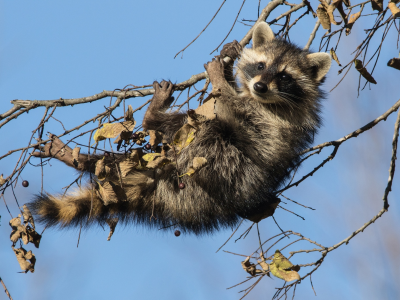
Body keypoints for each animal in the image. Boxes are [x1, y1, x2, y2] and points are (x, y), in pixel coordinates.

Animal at [28, 22, 332, 234]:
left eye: (284, 76)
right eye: (260, 65)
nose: (259, 86)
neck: (263, 98)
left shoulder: (272, 120)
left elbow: (231, 106)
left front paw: (220, 78)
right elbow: (227, 99)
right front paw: (228, 61)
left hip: (224, 169)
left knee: (206, 129)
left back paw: (153, 118)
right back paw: (84, 160)